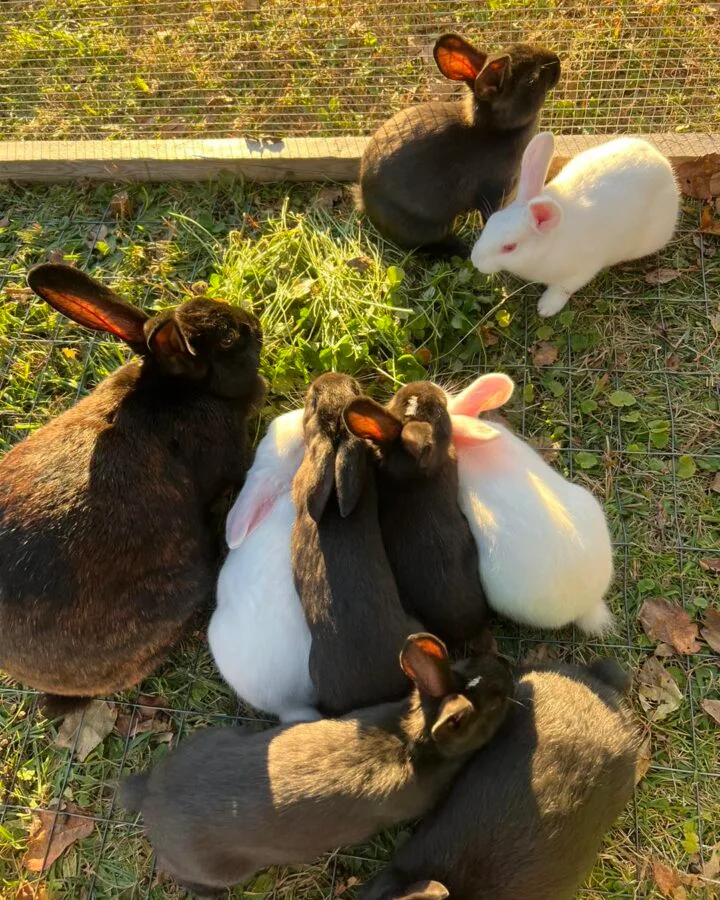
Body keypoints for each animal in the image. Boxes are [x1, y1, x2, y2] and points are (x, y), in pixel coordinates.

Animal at [118, 632, 514, 897]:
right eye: (495, 704)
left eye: (467, 664)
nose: (508, 672)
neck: (412, 740)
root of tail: (148, 795)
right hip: (216, 868)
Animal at [471, 131, 680, 316]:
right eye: (490, 222)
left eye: (509, 247)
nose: (475, 261)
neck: (549, 246)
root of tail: (665, 165)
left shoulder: (582, 271)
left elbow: (562, 289)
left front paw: (546, 308)